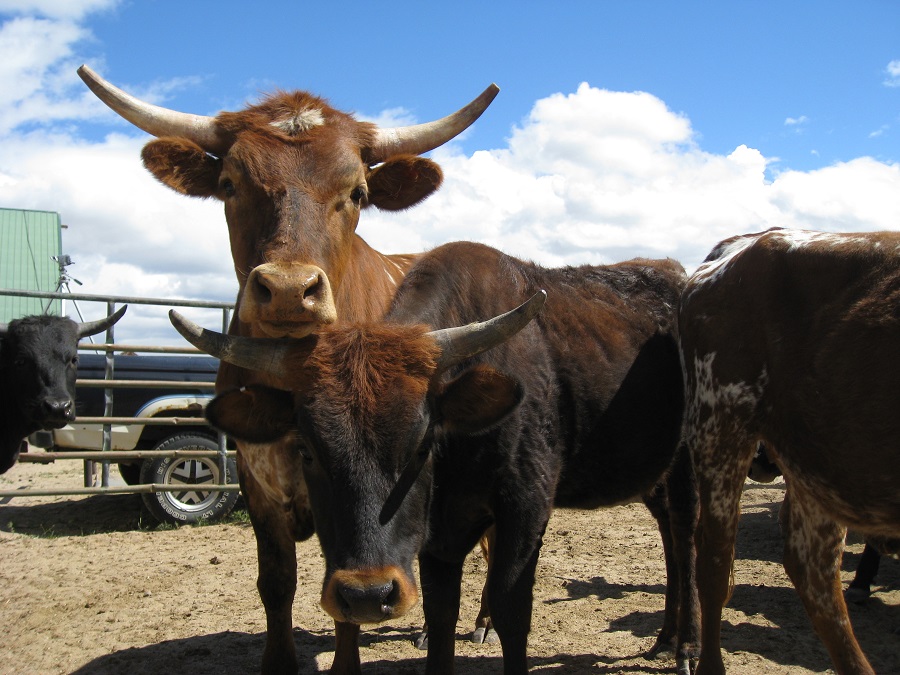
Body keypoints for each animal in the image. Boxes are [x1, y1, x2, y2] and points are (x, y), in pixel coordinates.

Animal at [78, 65, 498, 673]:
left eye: (357, 192)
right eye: (229, 184)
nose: (287, 290)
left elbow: (346, 595)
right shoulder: (258, 484)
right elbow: (275, 583)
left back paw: (483, 621)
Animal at [169, 240, 701, 675]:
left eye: (423, 443)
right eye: (306, 450)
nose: (366, 595)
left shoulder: (526, 505)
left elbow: (513, 612)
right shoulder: (437, 534)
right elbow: (441, 618)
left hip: (693, 462)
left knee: (687, 541)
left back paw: (687, 647)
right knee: (671, 541)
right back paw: (665, 637)